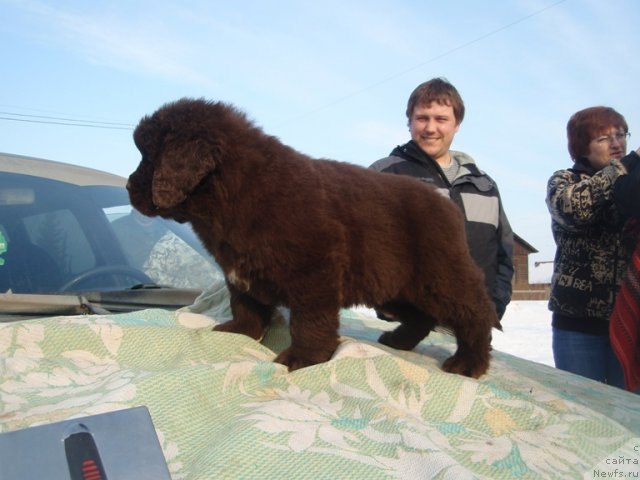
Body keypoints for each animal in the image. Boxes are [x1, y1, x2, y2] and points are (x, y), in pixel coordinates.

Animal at [129, 98, 500, 378]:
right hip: (396, 287)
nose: (129, 186)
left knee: (475, 313)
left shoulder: (314, 270)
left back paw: (469, 363)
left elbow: (310, 321)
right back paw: (399, 340)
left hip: (440, 277)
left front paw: (304, 358)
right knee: (423, 317)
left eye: (148, 157)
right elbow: (245, 304)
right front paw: (240, 332)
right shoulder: (240, 271)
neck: (233, 191)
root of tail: (447, 205)